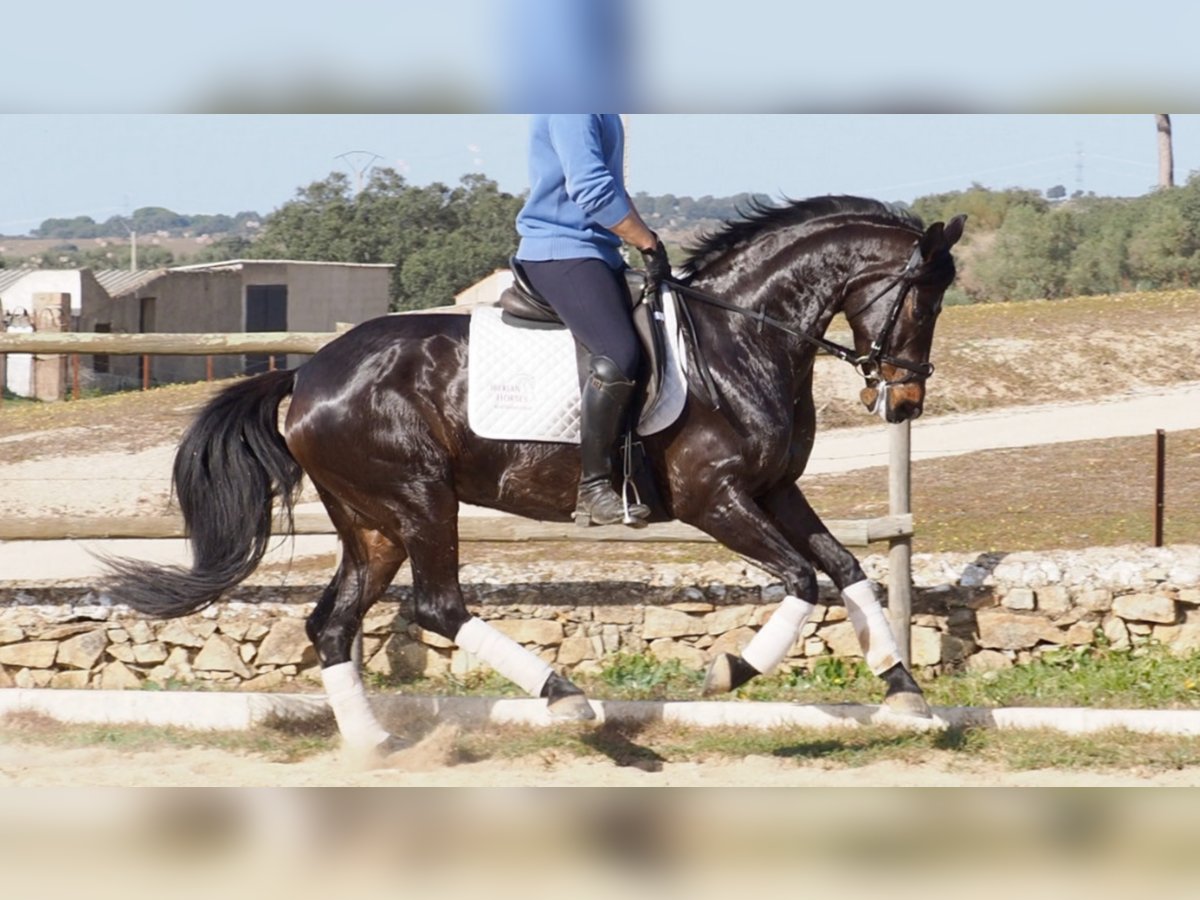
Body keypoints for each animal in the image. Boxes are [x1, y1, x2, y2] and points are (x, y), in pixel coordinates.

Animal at [103, 195, 964, 753]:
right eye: (923, 301)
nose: (906, 400)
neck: (740, 340)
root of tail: (309, 373)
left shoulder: (774, 489)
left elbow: (845, 568)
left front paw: (904, 693)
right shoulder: (714, 498)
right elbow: (801, 579)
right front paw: (730, 669)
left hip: (373, 522)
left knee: (333, 624)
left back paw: (374, 742)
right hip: (419, 498)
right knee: (437, 605)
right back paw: (565, 699)